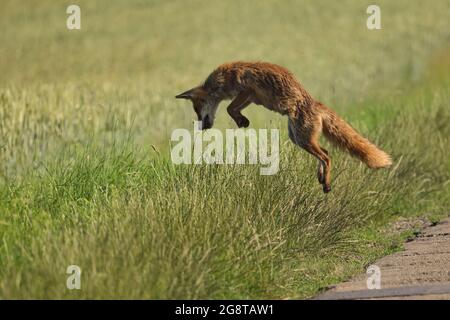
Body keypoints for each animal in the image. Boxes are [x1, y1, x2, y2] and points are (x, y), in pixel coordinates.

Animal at [176, 62, 390, 192]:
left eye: (197, 109)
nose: (201, 127)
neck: (222, 80)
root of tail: (314, 103)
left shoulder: (247, 90)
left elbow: (229, 108)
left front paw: (240, 121)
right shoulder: (250, 97)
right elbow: (233, 109)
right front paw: (242, 121)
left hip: (302, 139)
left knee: (327, 157)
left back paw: (326, 183)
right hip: (298, 138)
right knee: (326, 152)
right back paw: (321, 178)